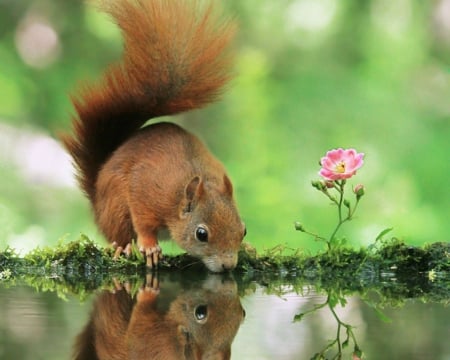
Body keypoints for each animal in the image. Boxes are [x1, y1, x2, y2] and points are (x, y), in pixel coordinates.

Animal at [62, 0, 246, 272]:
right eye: (201, 234)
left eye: (243, 230)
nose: (228, 265)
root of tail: (96, 196)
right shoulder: (146, 190)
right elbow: (143, 222)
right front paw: (149, 247)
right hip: (115, 207)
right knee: (119, 232)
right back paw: (124, 247)